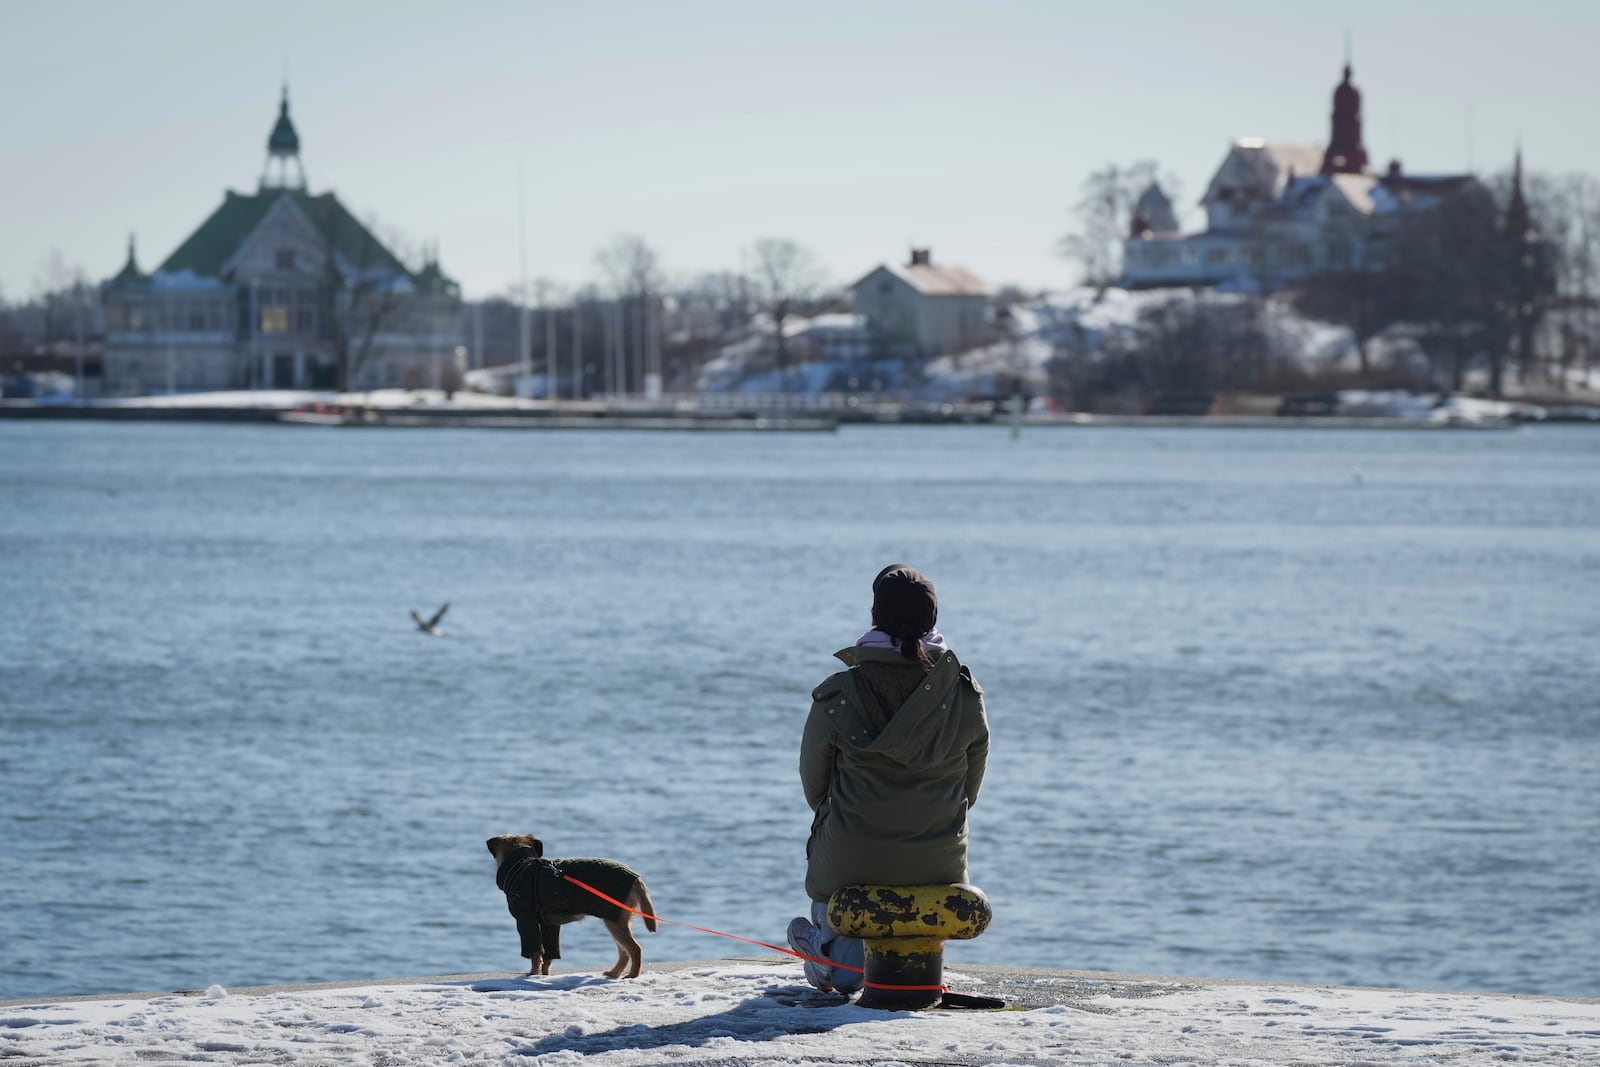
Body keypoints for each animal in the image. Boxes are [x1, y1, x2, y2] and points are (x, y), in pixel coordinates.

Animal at [489, 838, 659, 979]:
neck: (522, 864)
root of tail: (636, 879)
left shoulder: (526, 920)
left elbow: (535, 953)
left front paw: (533, 975)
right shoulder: (549, 925)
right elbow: (548, 955)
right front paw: (543, 976)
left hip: (614, 921)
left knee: (635, 949)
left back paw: (632, 975)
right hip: (614, 920)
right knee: (624, 952)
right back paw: (614, 973)